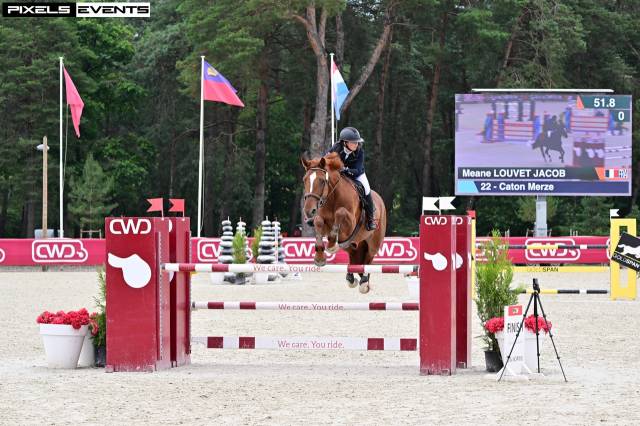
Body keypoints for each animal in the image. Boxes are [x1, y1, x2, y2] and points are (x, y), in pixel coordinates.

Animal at [301, 152, 387, 293]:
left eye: (322, 181)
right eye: (304, 180)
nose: (309, 211)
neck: (332, 197)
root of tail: (380, 201)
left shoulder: (350, 224)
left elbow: (340, 213)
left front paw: (331, 245)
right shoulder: (322, 220)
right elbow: (318, 221)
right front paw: (320, 258)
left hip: (373, 242)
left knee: (368, 259)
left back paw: (364, 282)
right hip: (354, 244)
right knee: (353, 256)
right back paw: (351, 278)